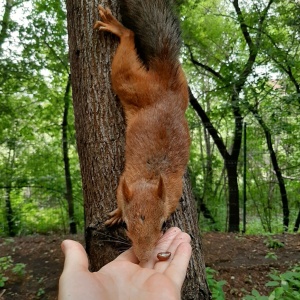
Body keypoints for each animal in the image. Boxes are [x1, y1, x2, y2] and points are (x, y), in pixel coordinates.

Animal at [94, 0, 190, 262]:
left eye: (162, 225)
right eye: (127, 226)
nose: (143, 258)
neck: (150, 178)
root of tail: (166, 85)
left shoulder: (173, 193)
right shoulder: (122, 182)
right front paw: (117, 212)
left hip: (174, 89)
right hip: (130, 83)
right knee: (129, 41)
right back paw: (117, 28)